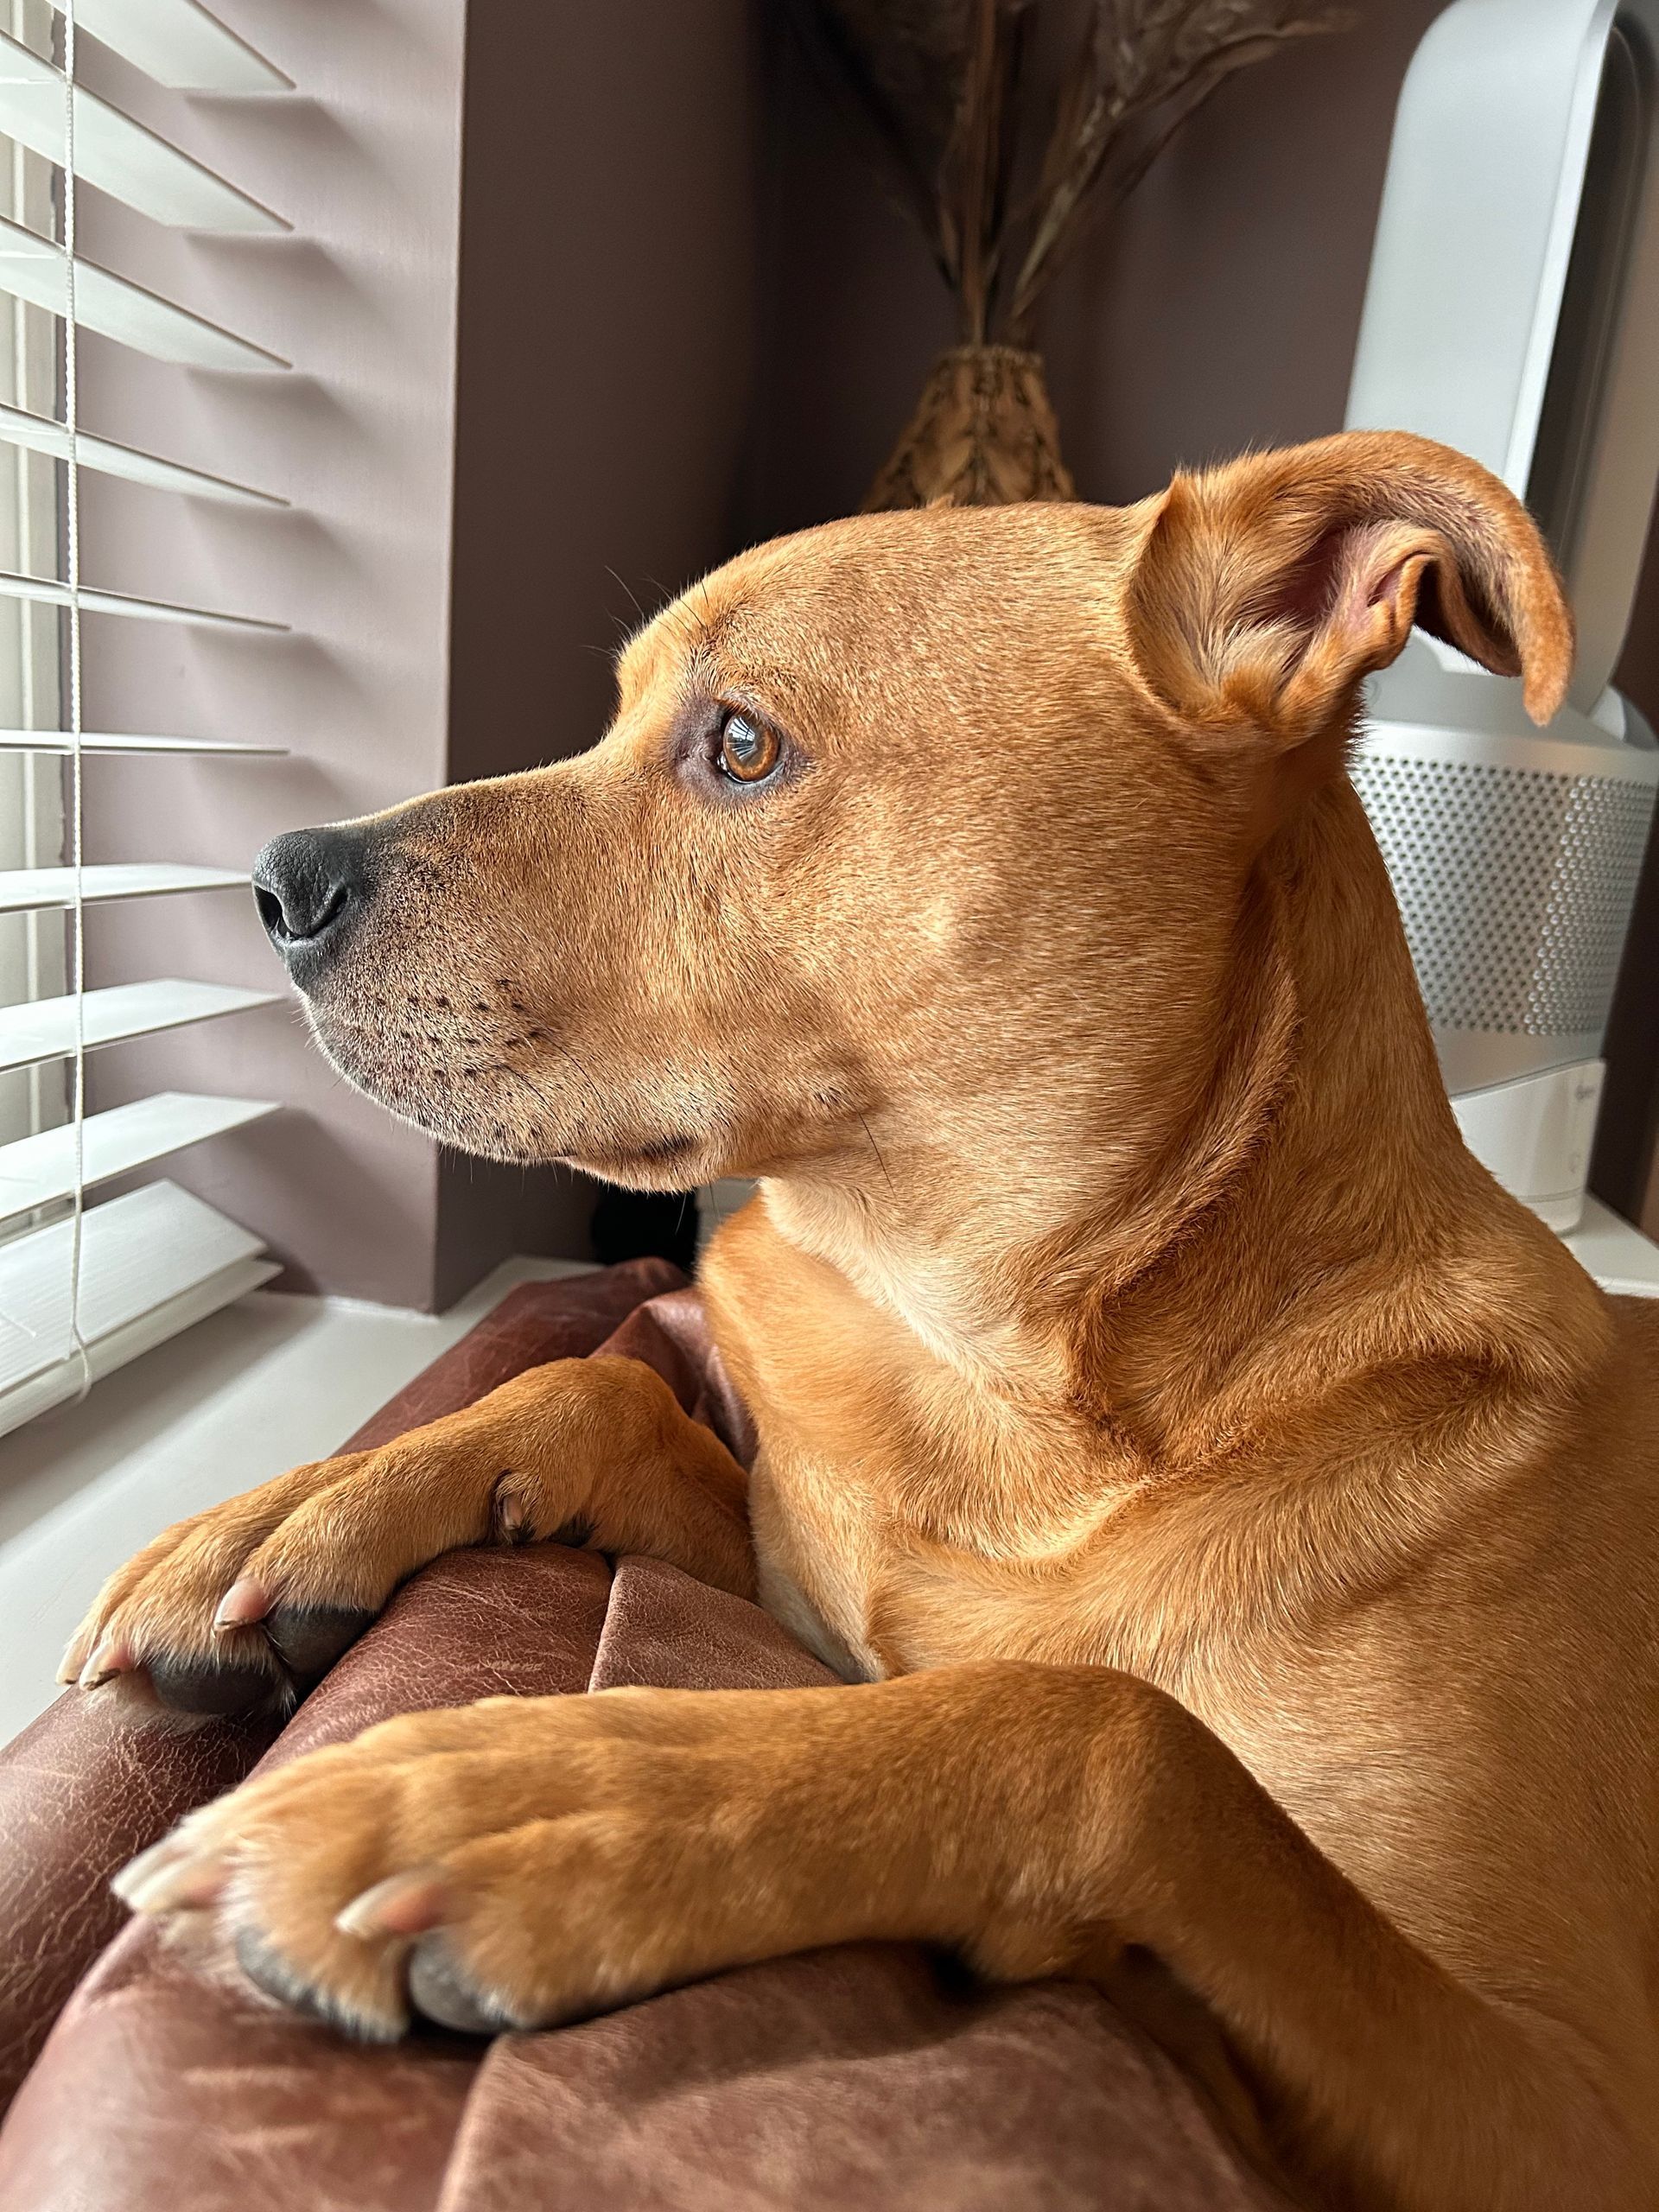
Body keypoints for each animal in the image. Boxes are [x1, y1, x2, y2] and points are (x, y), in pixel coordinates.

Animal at [71, 435, 1659, 2212]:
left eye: (742, 746)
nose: (272, 882)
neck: (1001, 1377)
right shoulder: (795, 1585)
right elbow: (600, 1394)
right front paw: (304, 1507)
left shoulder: (1572, 2102)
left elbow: (1111, 1728)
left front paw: (548, 1790)